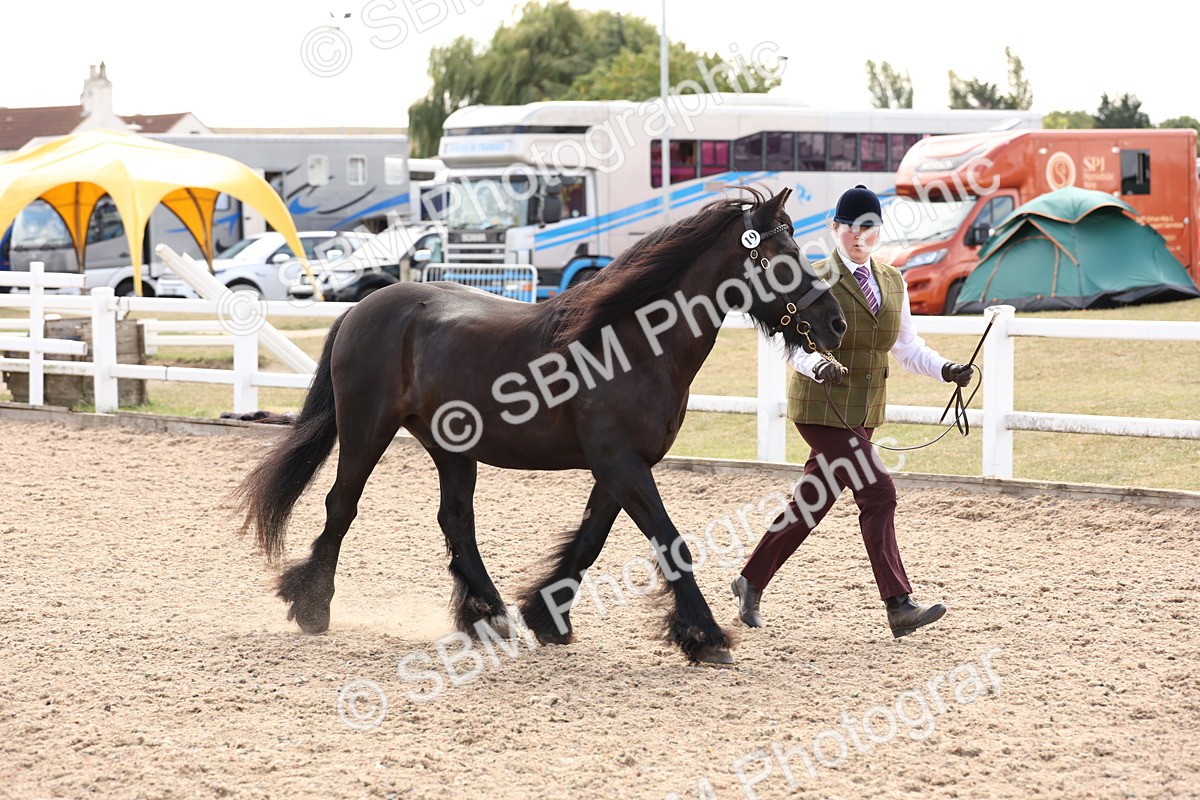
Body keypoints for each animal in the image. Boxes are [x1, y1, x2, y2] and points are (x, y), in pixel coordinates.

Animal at [235, 186, 846, 665]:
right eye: (785, 255)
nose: (836, 323)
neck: (634, 344)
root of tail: (363, 306)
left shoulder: (621, 467)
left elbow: (590, 541)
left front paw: (547, 617)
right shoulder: (621, 464)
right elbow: (671, 543)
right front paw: (706, 636)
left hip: (451, 448)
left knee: (455, 520)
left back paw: (488, 615)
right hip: (367, 428)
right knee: (342, 505)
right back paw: (312, 606)